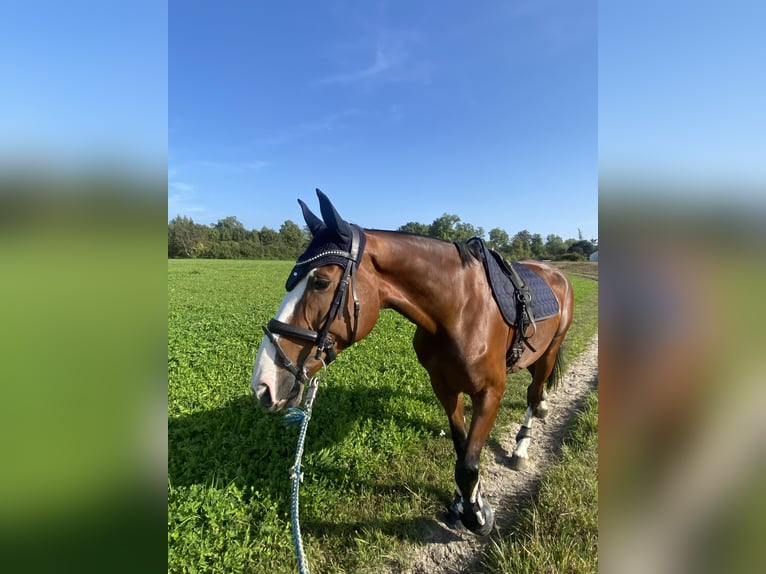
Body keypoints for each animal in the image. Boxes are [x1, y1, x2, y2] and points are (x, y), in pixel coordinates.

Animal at [251, 189, 574, 535]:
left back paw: (521, 446)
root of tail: (556, 273)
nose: (263, 385)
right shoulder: (444, 387)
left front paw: (476, 514)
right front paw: (464, 502)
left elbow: (469, 463)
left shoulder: (490, 392)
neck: (459, 310)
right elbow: (461, 450)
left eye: (321, 282)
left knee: (533, 391)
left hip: (550, 349)